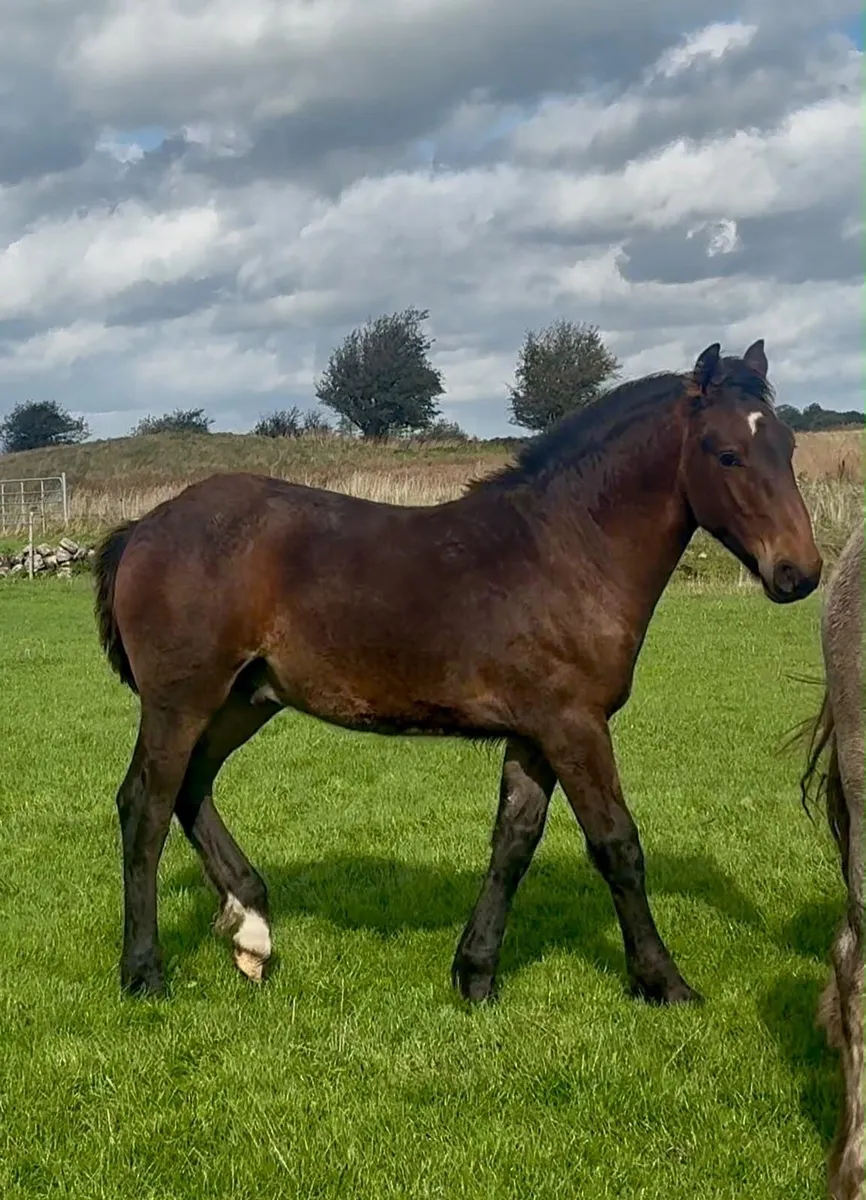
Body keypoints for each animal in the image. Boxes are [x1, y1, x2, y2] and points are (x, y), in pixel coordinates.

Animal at [94, 338, 822, 1004]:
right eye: (726, 453)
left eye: (787, 446)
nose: (800, 572)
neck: (565, 551)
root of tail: (145, 527)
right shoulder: (575, 725)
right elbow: (617, 845)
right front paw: (663, 981)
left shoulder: (535, 733)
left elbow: (514, 843)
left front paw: (475, 976)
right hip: (181, 703)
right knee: (146, 806)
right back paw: (144, 973)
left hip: (243, 700)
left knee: (191, 789)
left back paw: (252, 930)